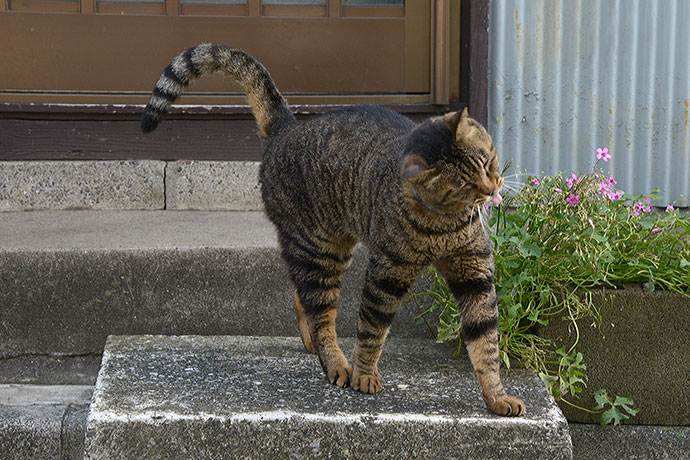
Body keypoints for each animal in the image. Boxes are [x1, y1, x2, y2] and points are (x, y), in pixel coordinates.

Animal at [142, 44, 524, 416]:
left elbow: (486, 340)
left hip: (334, 249)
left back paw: (312, 342)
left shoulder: (474, 273)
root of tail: (287, 129)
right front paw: (364, 375)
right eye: (464, 183)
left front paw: (497, 396)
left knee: (303, 299)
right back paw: (337, 364)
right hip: (316, 252)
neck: (443, 224)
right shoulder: (386, 275)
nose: (492, 187)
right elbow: (372, 329)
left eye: (486, 161)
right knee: (321, 312)